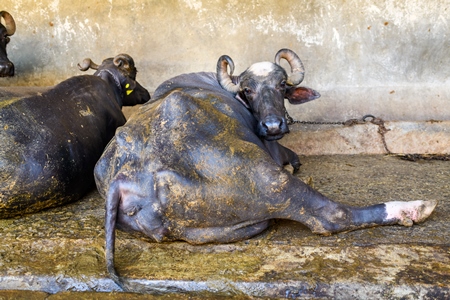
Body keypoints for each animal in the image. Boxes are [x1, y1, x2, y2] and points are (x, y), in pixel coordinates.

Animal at [94, 49, 436, 290]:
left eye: (282, 85)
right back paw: (413, 208)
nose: (273, 126)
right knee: (329, 215)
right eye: (247, 91)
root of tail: (124, 174)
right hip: (268, 179)